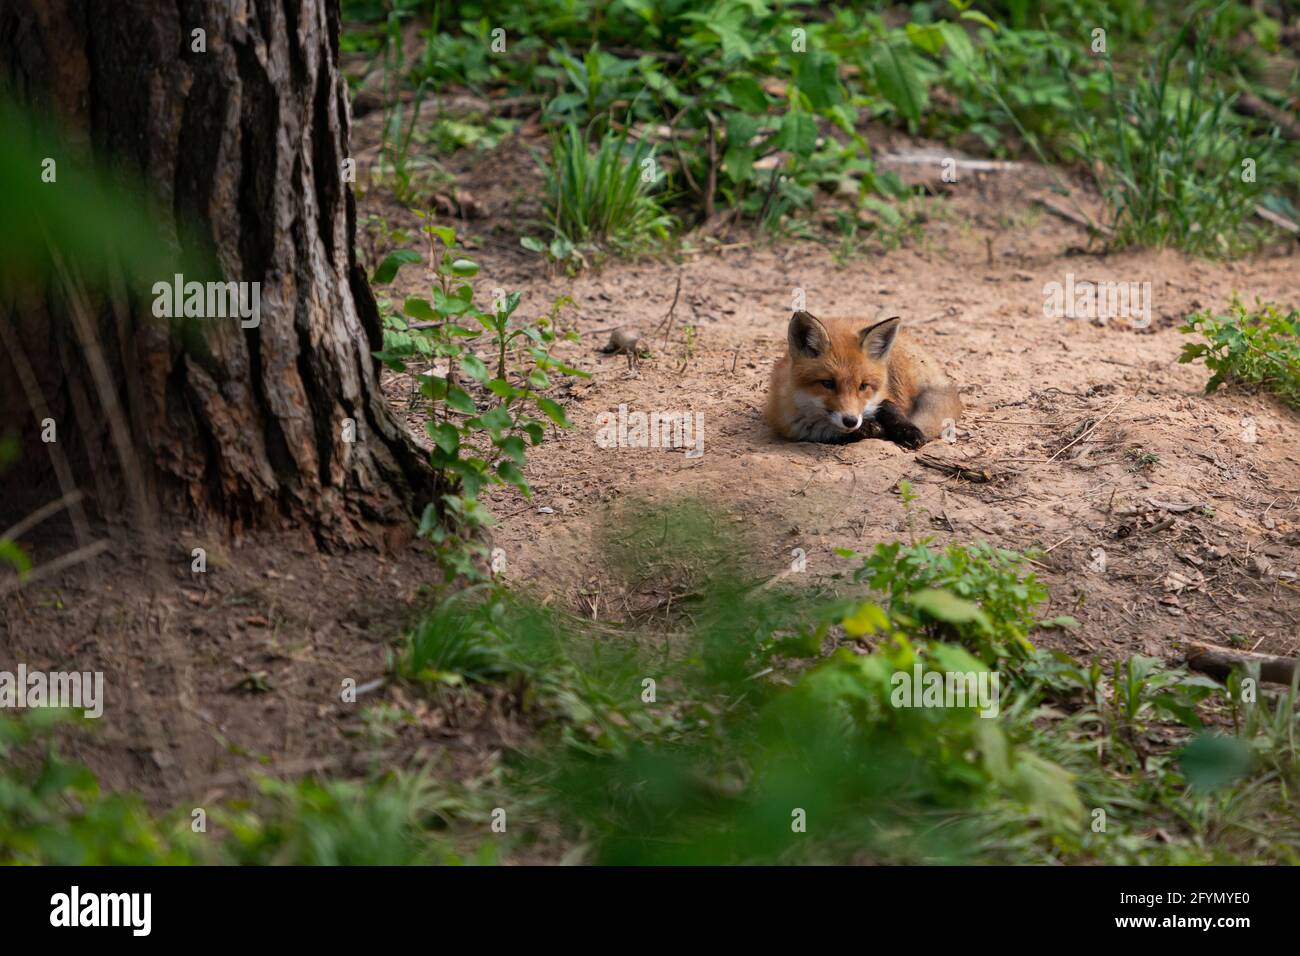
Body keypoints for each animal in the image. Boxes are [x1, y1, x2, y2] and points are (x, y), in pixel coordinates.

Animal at [764, 312, 961, 450]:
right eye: (828, 384)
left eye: (863, 386)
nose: (850, 420)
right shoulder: (795, 426)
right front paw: (869, 429)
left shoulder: (882, 395)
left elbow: (891, 408)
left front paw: (908, 431)